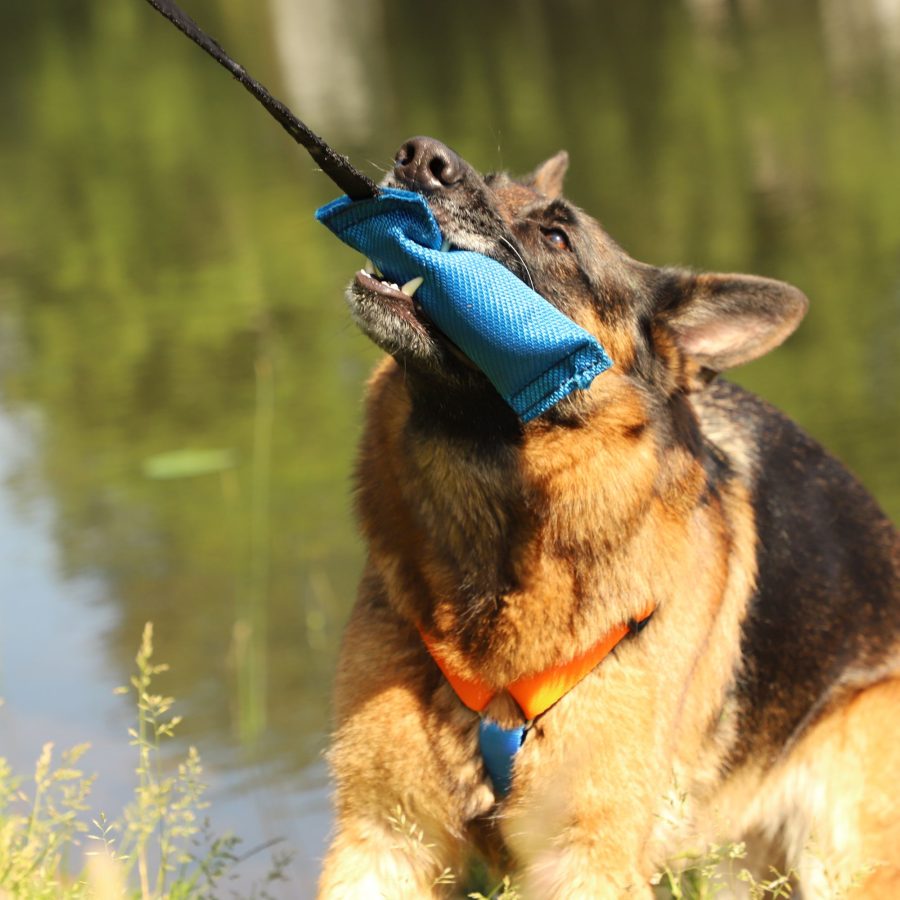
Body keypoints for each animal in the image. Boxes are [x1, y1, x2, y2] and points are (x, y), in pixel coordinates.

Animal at [318, 137, 900, 896]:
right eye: (491, 180)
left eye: (556, 237)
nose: (420, 157)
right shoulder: (382, 839)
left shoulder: (586, 859)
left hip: (841, 830)